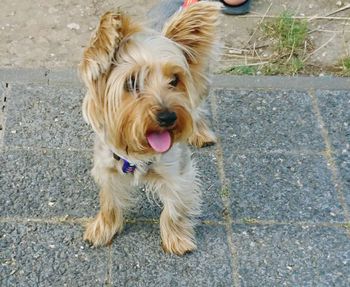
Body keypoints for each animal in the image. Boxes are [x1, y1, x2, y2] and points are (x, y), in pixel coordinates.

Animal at [79, 1, 220, 255]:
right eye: (132, 82)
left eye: (174, 80)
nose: (168, 116)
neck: (137, 148)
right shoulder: (107, 167)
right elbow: (109, 200)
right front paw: (103, 229)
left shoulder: (177, 172)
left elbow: (174, 208)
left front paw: (176, 239)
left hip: (201, 79)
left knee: (197, 105)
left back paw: (200, 132)